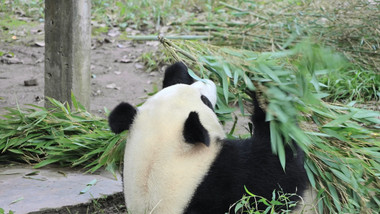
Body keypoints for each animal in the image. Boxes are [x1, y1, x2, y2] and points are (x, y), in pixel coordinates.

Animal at [108, 61, 310, 214]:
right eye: (204, 101)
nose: (207, 81)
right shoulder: (226, 183)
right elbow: (281, 173)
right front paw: (266, 88)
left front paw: (178, 69)